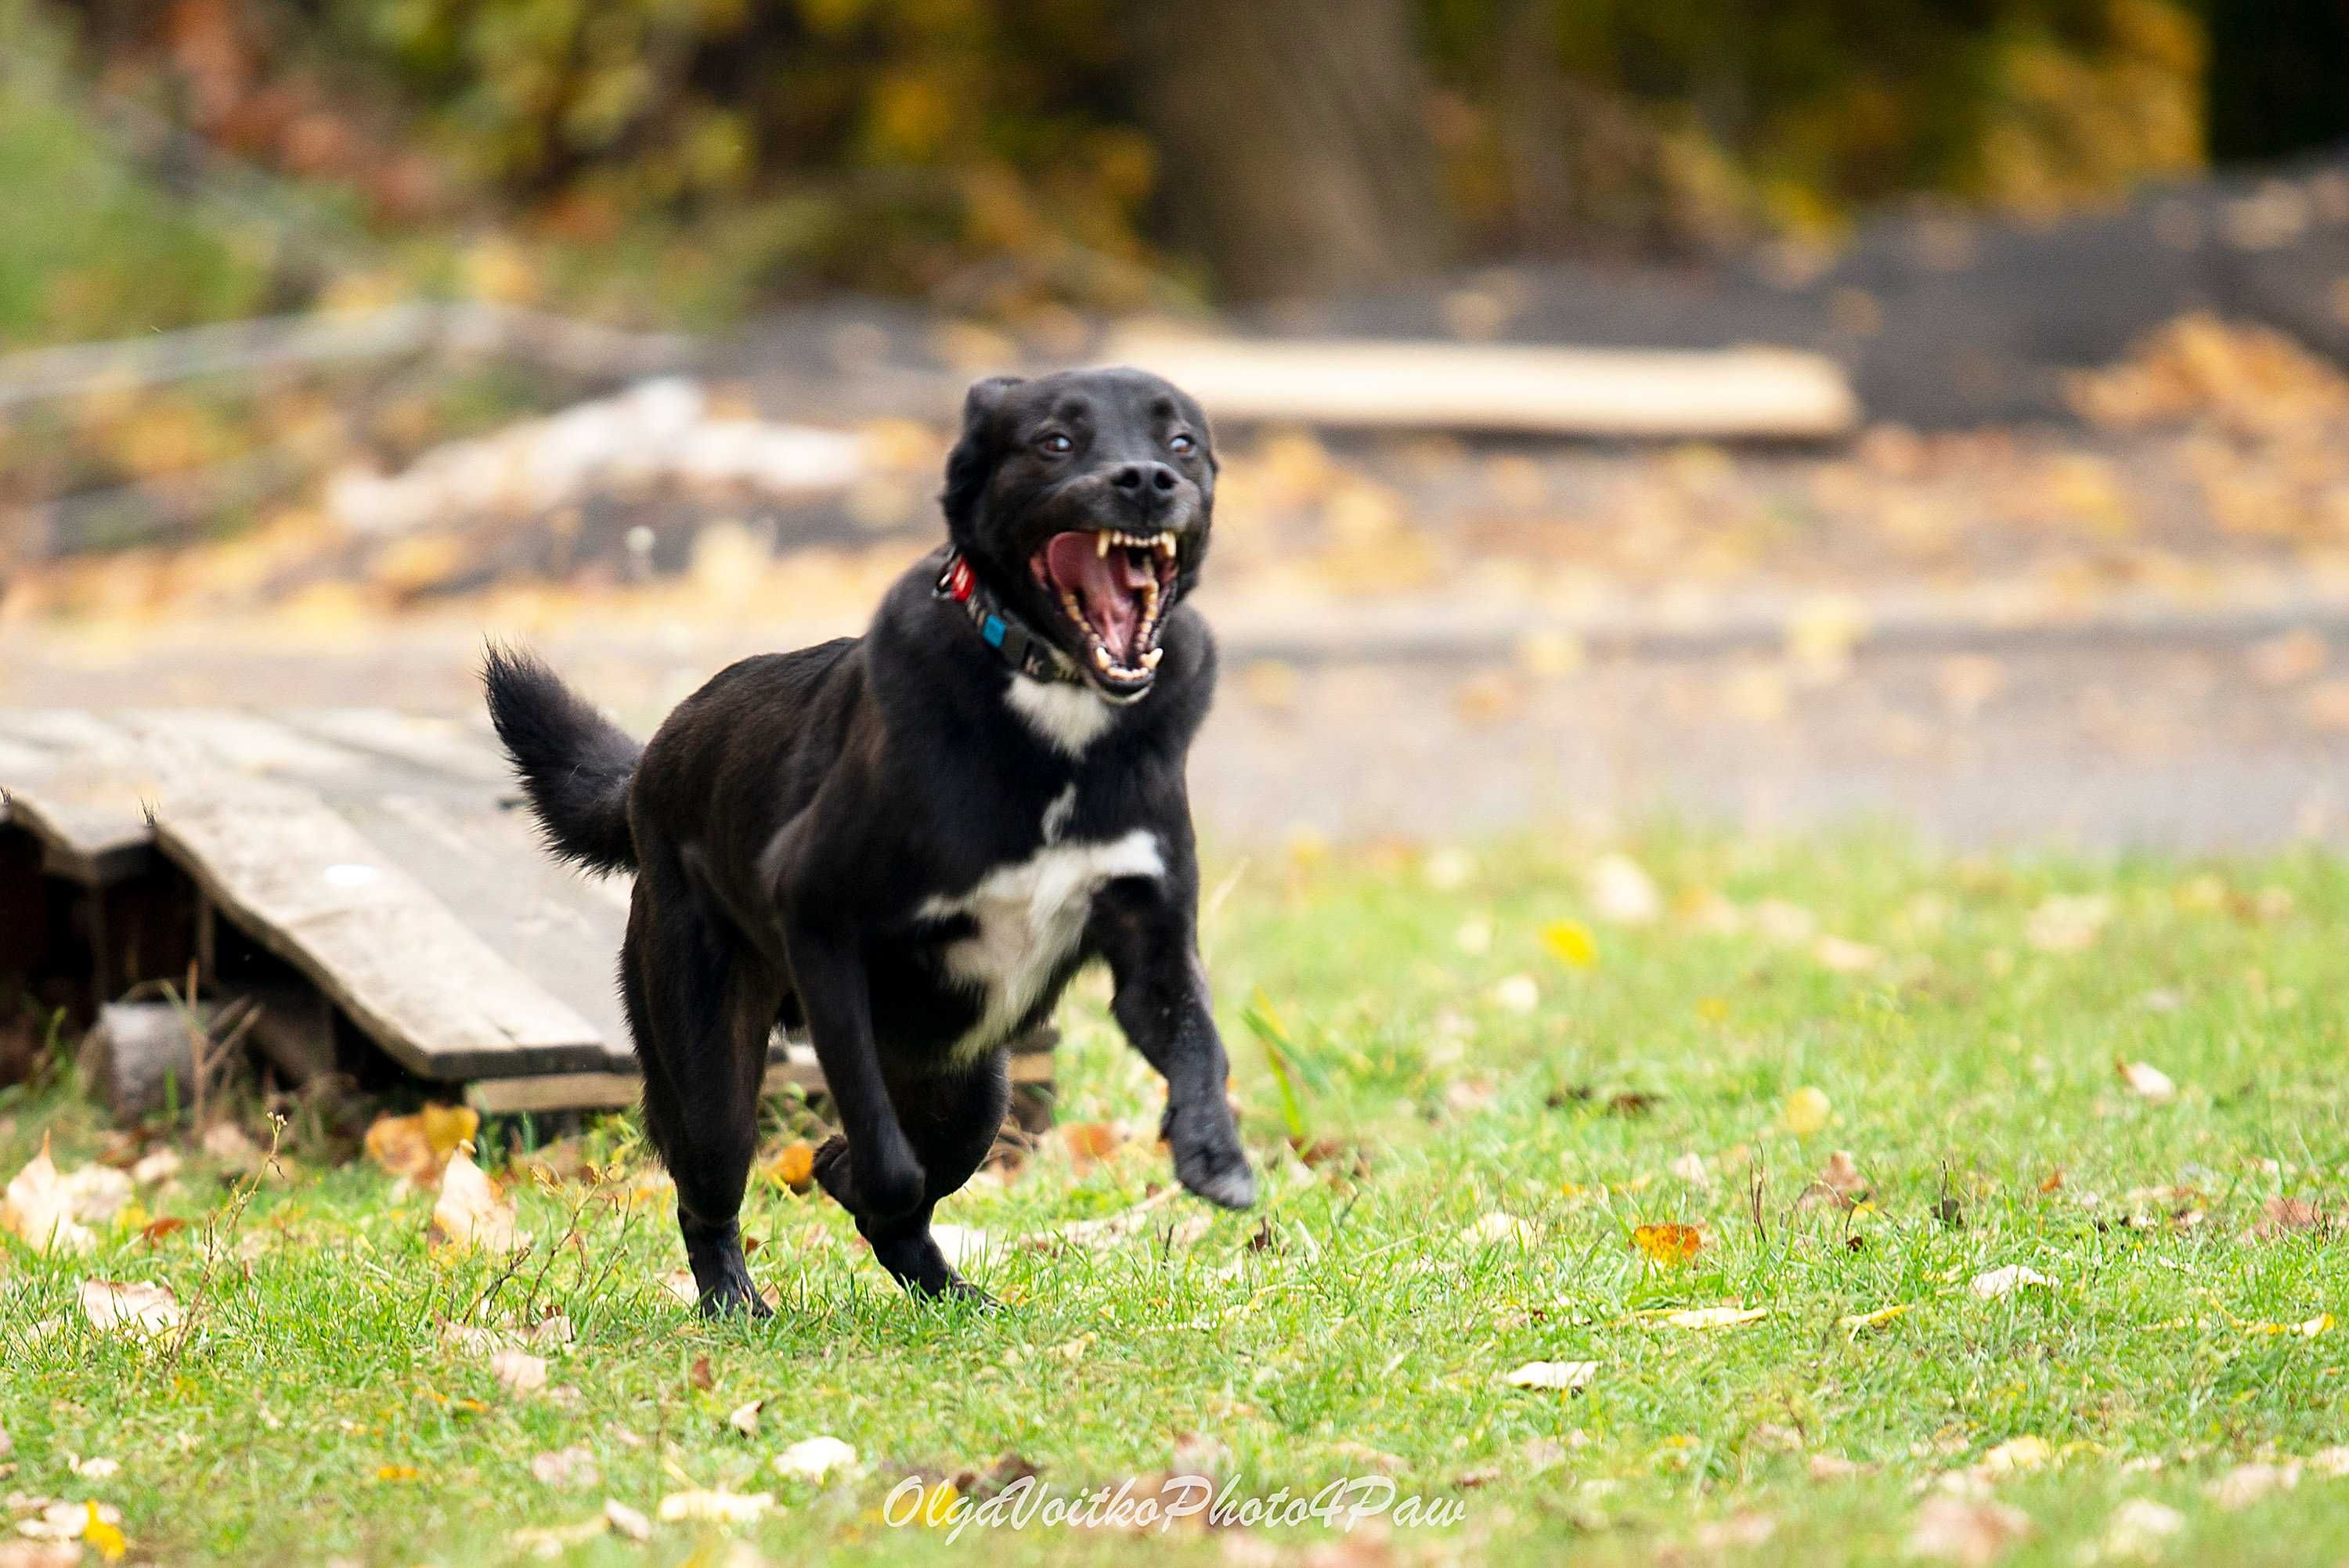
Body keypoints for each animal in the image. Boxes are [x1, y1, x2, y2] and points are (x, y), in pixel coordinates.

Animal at [484, 368, 1259, 1314]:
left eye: (1182, 442)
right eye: (1055, 442)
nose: (1148, 481)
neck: (1052, 720)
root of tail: (651, 764)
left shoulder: (1154, 946)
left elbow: (1199, 1043)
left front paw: (1214, 1152)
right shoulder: (824, 931)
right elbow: (882, 1164)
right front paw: (856, 1178)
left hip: (973, 1085)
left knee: (916, 1168)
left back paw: (950, 1292)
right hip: (712, 1072)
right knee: (716, 1190)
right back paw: (735, 1300)